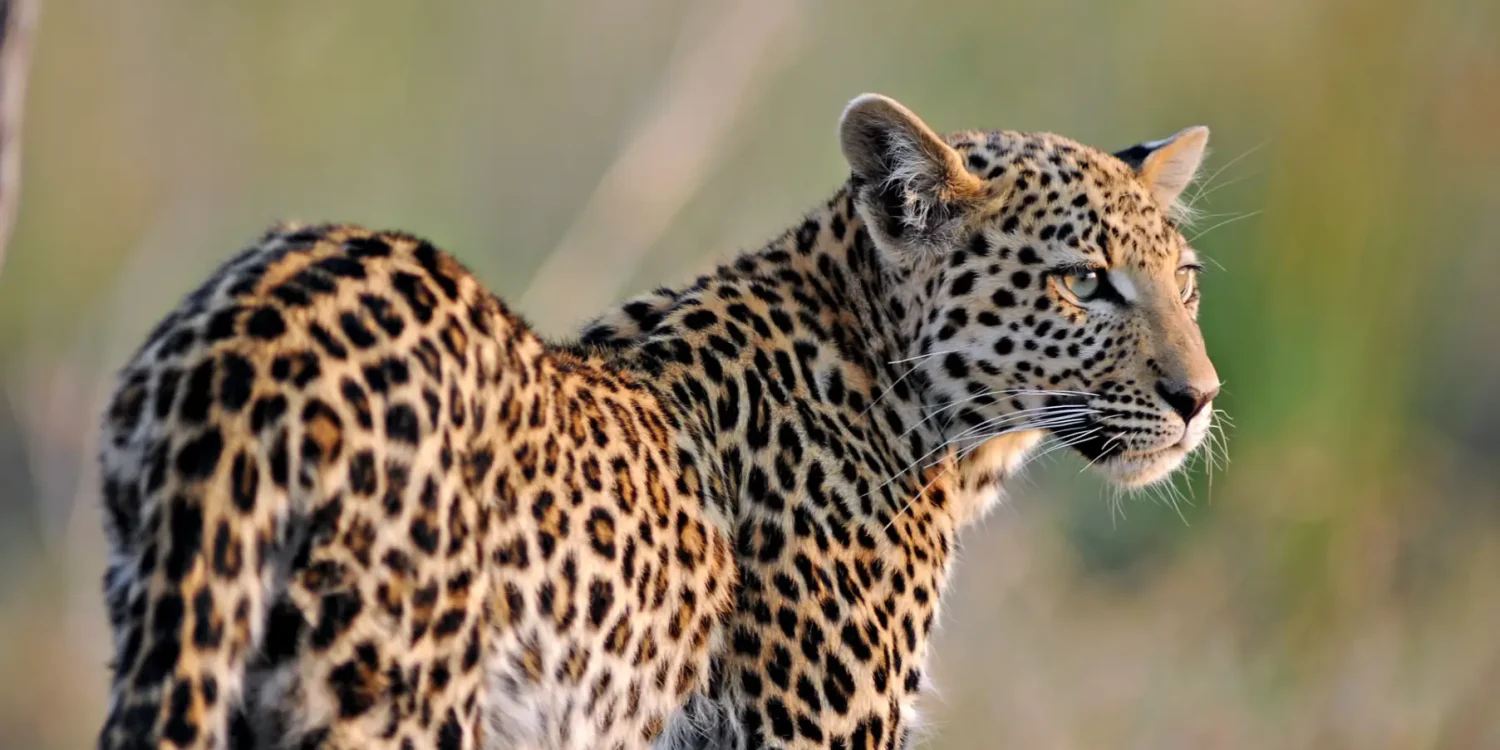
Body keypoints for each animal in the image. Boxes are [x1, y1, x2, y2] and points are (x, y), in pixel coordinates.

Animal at [96, 93, 1222, 750]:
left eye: (1185, 281)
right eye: (1084, 282)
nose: (1200, 398)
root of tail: (252, 332)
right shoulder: (811, 734)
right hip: (389, 694)